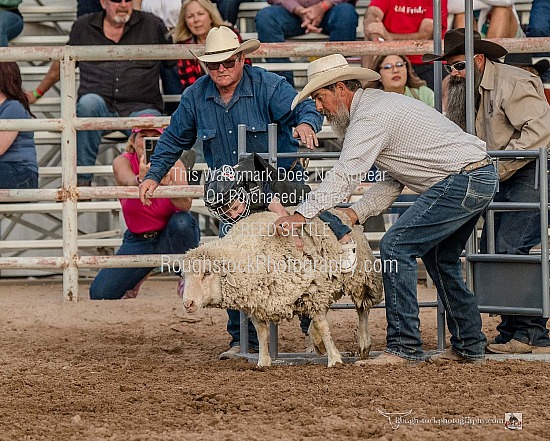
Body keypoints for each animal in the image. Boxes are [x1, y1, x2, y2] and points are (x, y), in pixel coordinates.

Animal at [181, 210, 384, 364]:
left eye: (207, 273)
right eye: (185, 274)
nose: (187, 303)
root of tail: (343, 212)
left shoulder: (313, 292)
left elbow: (322, 325)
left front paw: (334, 359)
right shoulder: (258, 303)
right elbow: (262, 334)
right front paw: (263, 362)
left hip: (360, 278)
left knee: (362, 309)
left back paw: (363, 343)